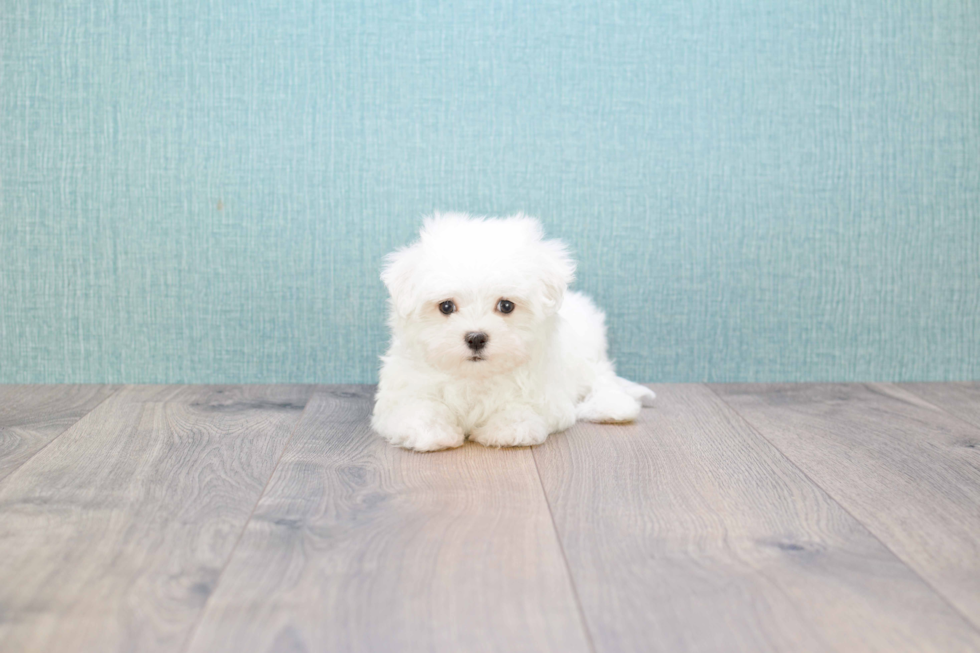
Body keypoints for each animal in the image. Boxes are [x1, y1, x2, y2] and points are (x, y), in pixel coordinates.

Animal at [372, 211, 656, 450]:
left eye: (506, 305)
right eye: (446, 306)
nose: (476, 338)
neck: (475, 377)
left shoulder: (547, 395)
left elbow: (522, 408)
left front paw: (506, 428)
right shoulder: (404, 389)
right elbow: (417, 407)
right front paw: (432, 431)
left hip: (587, 357)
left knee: (602, 379)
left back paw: (613, 408)